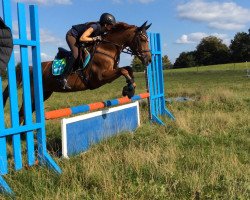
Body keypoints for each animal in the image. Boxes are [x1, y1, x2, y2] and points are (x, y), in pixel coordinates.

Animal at [1, 21, 151, 122]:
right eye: (142, 39)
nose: (149, 60)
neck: (107, 49)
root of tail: (30, 68)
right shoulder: (100, 77)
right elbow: (123, 70)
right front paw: (129, 89)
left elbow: (128, 69)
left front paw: (130, 87)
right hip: (33, 94)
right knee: (22, 113)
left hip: (44, 93)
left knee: (26, 112)